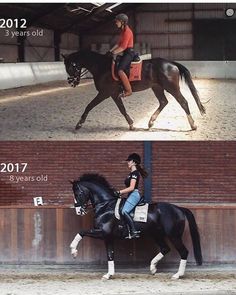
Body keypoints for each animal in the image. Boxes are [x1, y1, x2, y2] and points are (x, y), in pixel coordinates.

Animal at [62, 51, 205, 132]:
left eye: (71, 67)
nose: (71, 82)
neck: (101, 66)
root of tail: (171, 63)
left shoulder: (105, 93)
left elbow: (89, 106)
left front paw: (79, 124)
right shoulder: (114, 94)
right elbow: (122, 109)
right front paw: (131, 124)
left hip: (172, 88)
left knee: (183, 102)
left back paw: (193, 125)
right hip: (157, 87)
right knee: (163, 102)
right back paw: (150, 122)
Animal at [69, 175, 202, 280]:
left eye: (78, 193)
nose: (78, 211)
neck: (105, 205)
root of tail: (179, 208)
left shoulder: (103, 233)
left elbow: (81, 232)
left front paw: (73, 251)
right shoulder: (108, 236)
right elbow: (110, 254)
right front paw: (109, 275)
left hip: (174, 235)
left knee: (183, 252)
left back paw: (177, 275)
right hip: (157, 234)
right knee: (165, 249)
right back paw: (152, 268)